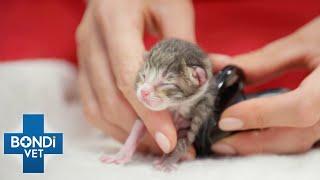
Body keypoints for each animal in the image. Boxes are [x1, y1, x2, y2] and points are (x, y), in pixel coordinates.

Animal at [102, 38, 218, 172]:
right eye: (143, 76)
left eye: (165, 83)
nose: (143, 91)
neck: (174, 107)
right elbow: (136, 131)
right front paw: (121, 155)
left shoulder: (196, 115)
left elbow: (181, 142)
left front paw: (167, 162)